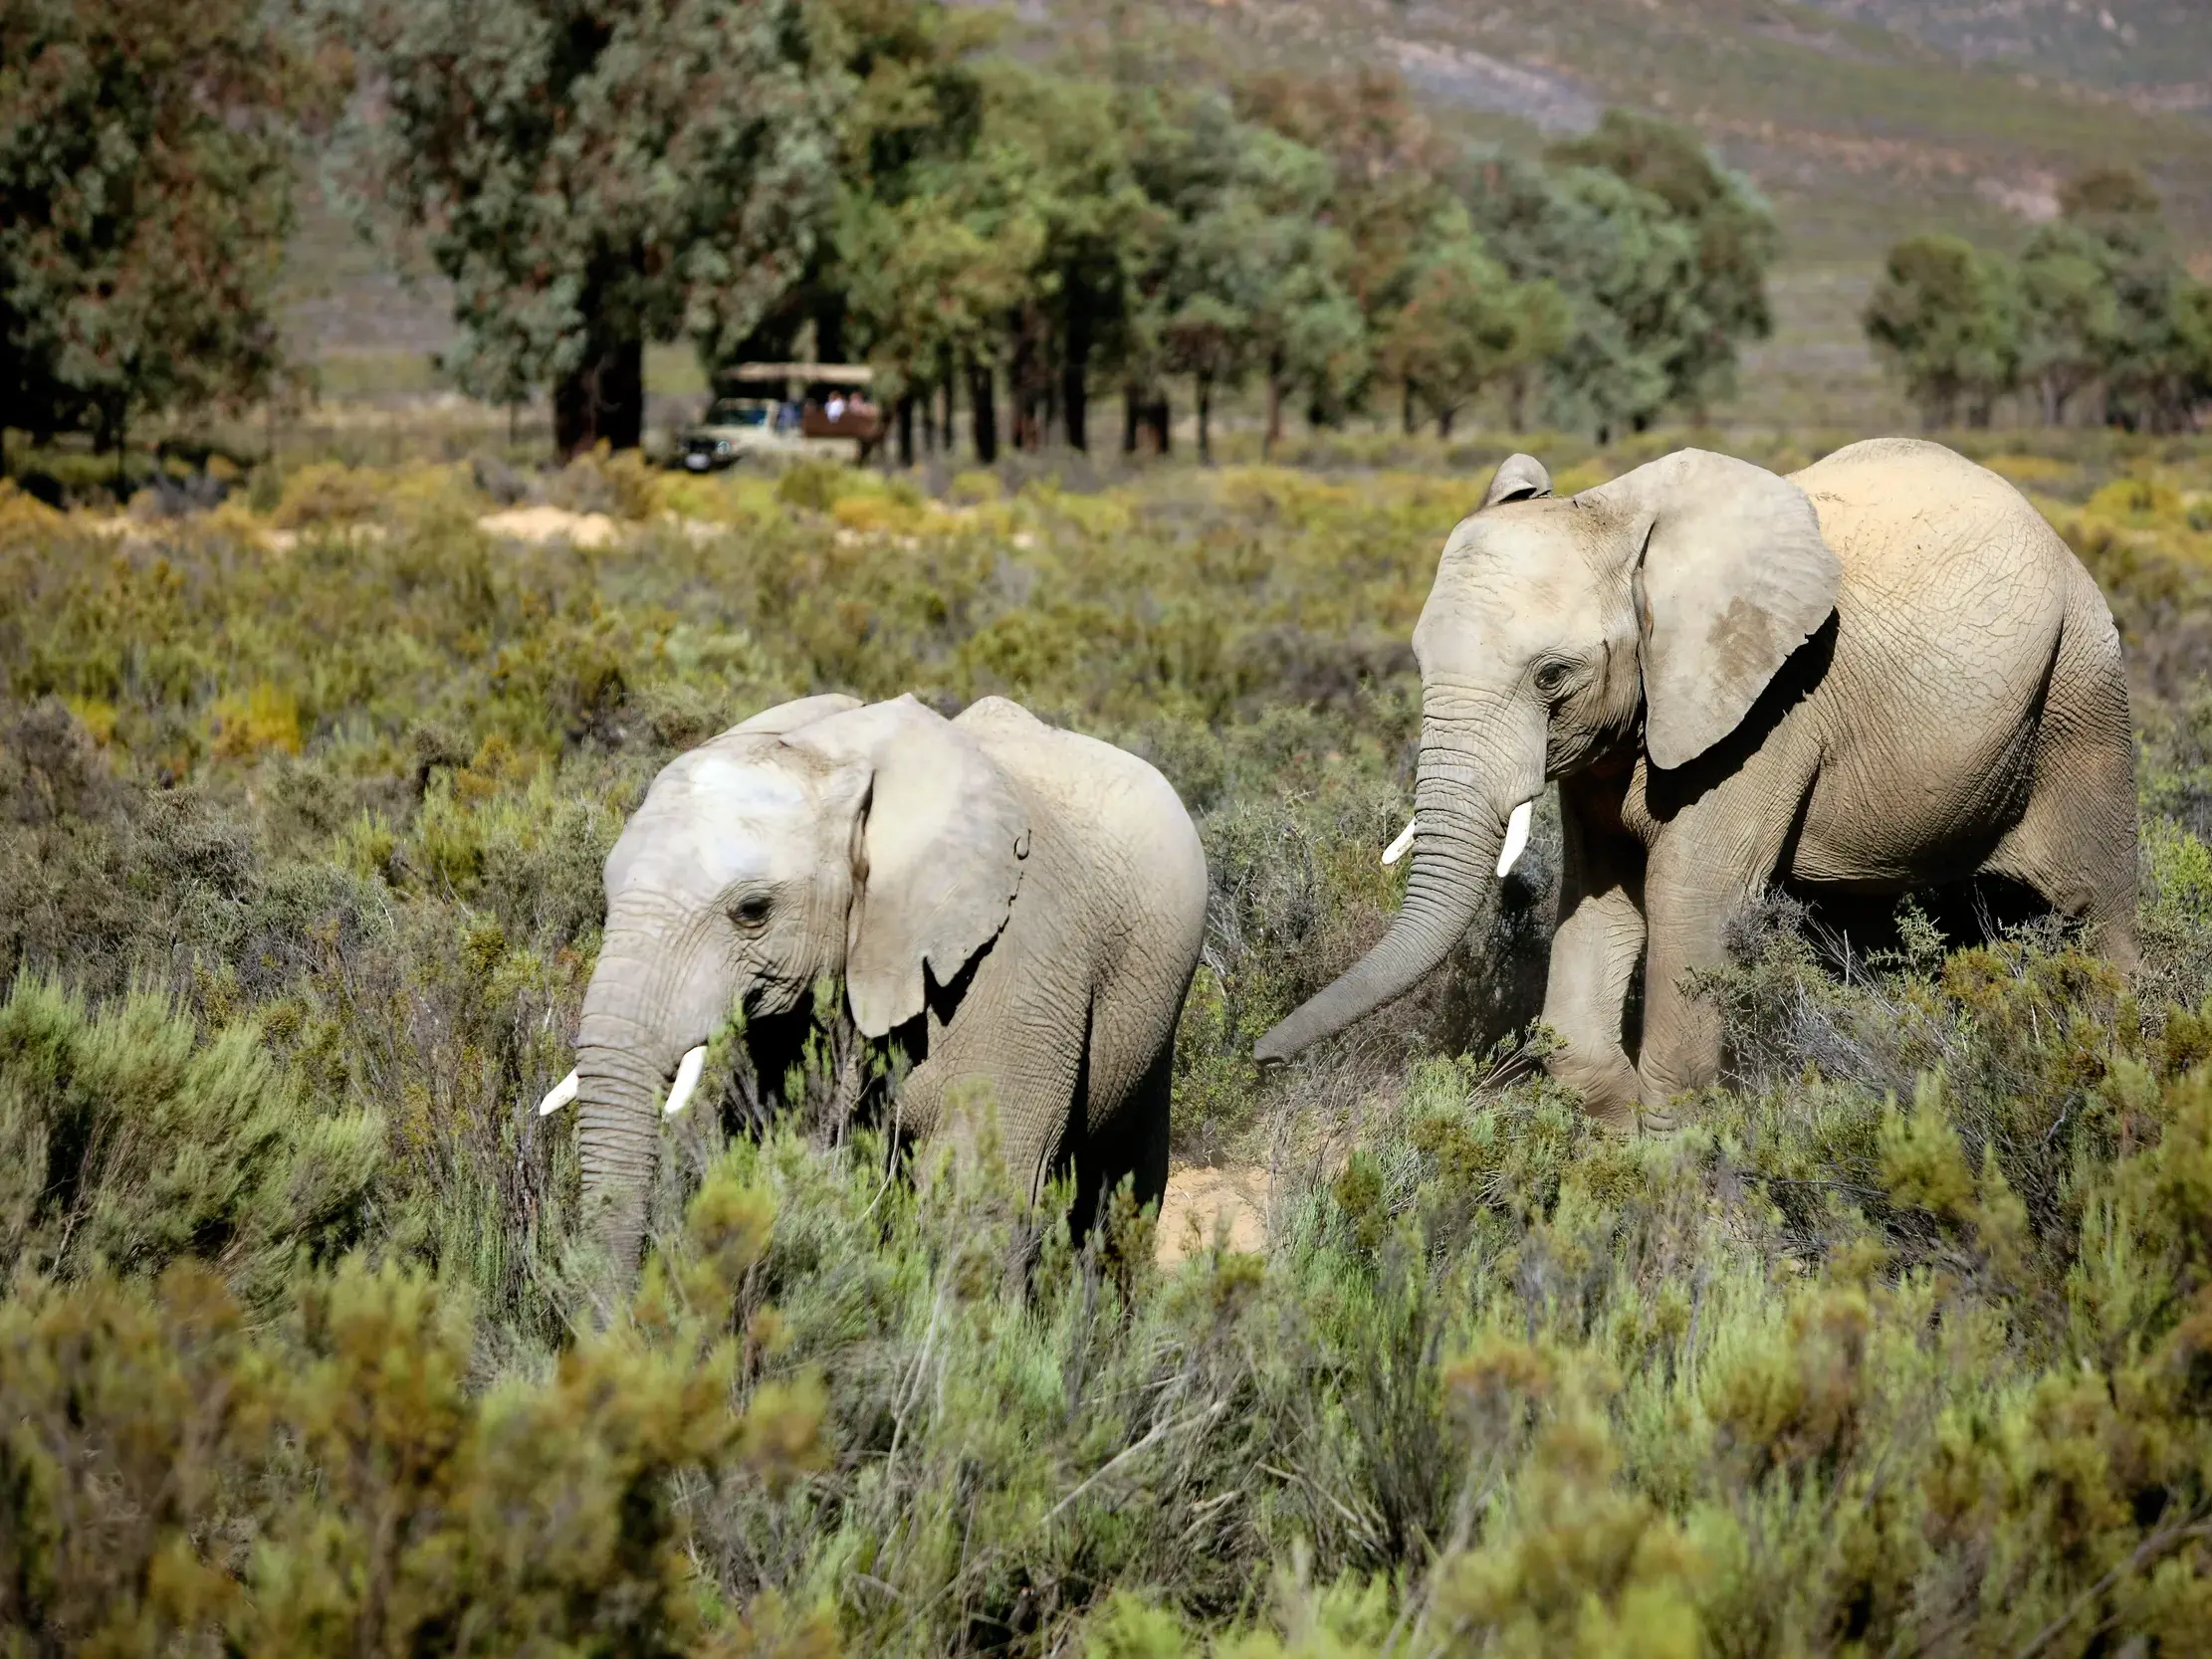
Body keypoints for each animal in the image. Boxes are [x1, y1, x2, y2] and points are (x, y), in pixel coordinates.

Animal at [1255, 439, 2138, 1127]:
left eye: (1551, 676)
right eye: (1417, 662)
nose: (1260, 1055)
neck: (1615, 516)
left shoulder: (1767, 709)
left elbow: (1690, 895)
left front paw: (1667, 1145)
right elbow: (1602, 894)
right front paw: (1611, 1117)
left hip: (2082, 687)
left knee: (2097, 901)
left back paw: (2117, 1044)